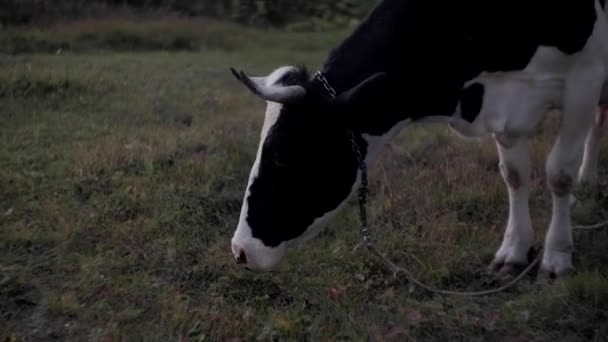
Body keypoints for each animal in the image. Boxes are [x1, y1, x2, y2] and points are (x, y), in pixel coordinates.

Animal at [228, 0, 608, 278]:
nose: (240, 251)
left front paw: (557, 256)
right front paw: (513, 252)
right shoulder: (506, 106)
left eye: (281, 154)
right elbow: (513, 175)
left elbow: (558, 173)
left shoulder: (584, 79)